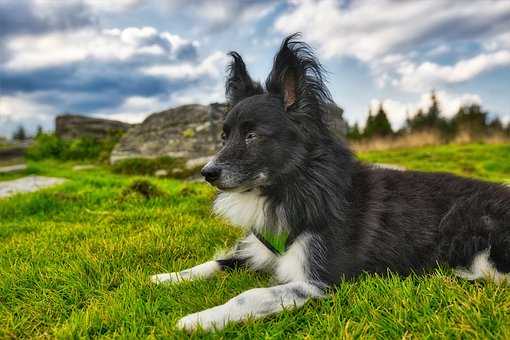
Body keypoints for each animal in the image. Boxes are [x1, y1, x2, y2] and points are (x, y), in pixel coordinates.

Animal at [151, 33, 510, 330]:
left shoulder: (317, 281)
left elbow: (250, 294)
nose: (207, 172)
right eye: (224, 137)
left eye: (252, 136)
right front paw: (166, 277)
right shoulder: (260, 249)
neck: (295, 185)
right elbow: (217, 261)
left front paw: (199, 319)